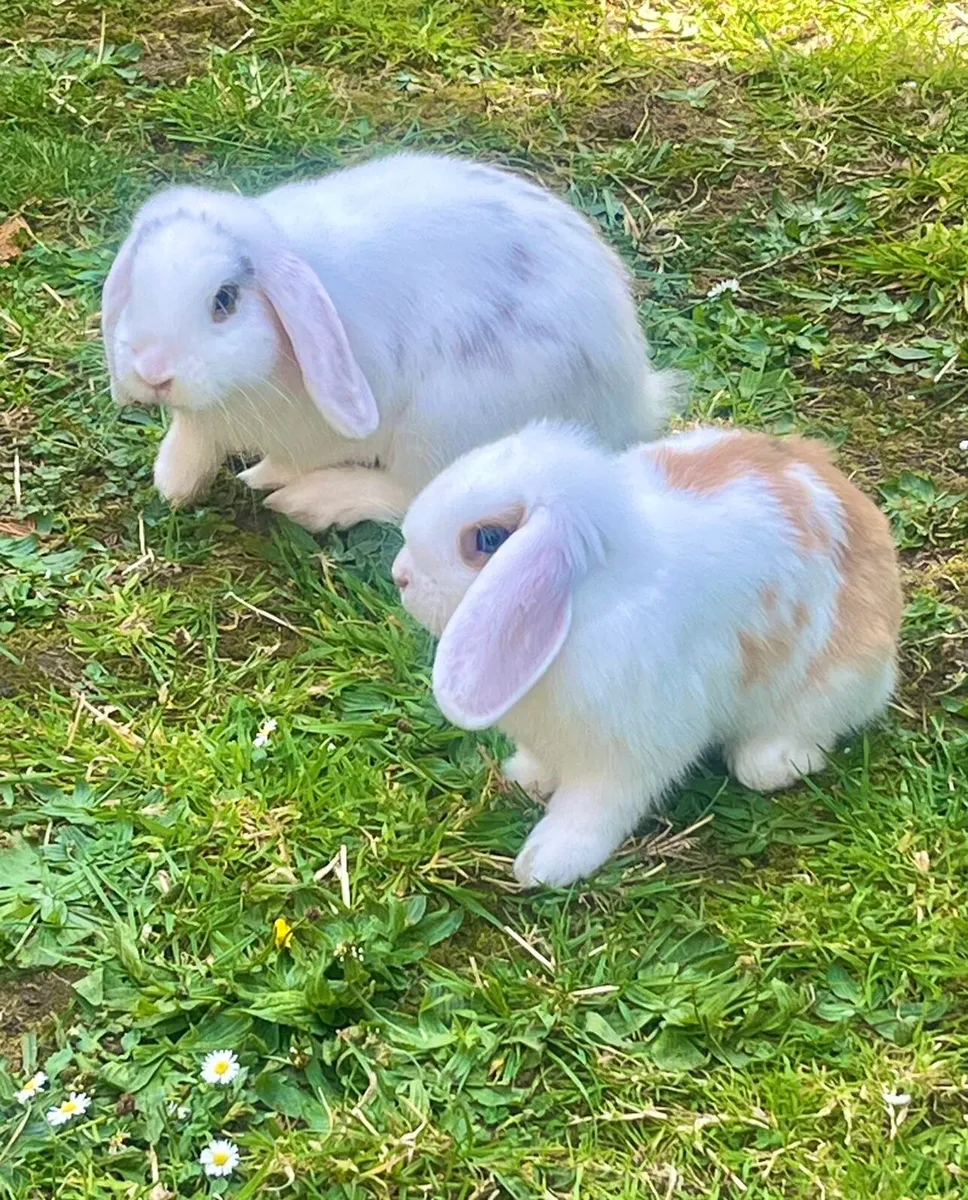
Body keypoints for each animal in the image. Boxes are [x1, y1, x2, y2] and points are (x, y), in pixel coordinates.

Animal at [101, 152, 672, 533]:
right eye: (136, 287)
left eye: (224, 301)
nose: (153, 372)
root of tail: (633, 399)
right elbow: (192, 437)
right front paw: (173, 482)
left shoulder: (324, 433)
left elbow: (292, 460)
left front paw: (262, 479)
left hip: (447, 423)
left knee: (411, 493)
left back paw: (317, 502)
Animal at [392, 421, 903, 888]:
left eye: (488, 540)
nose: (401, 576)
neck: (580, 605)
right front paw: (526, 777)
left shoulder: (624, 757)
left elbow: (591, 811)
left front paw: (545, 863)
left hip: (832, 683)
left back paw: (773, 761)